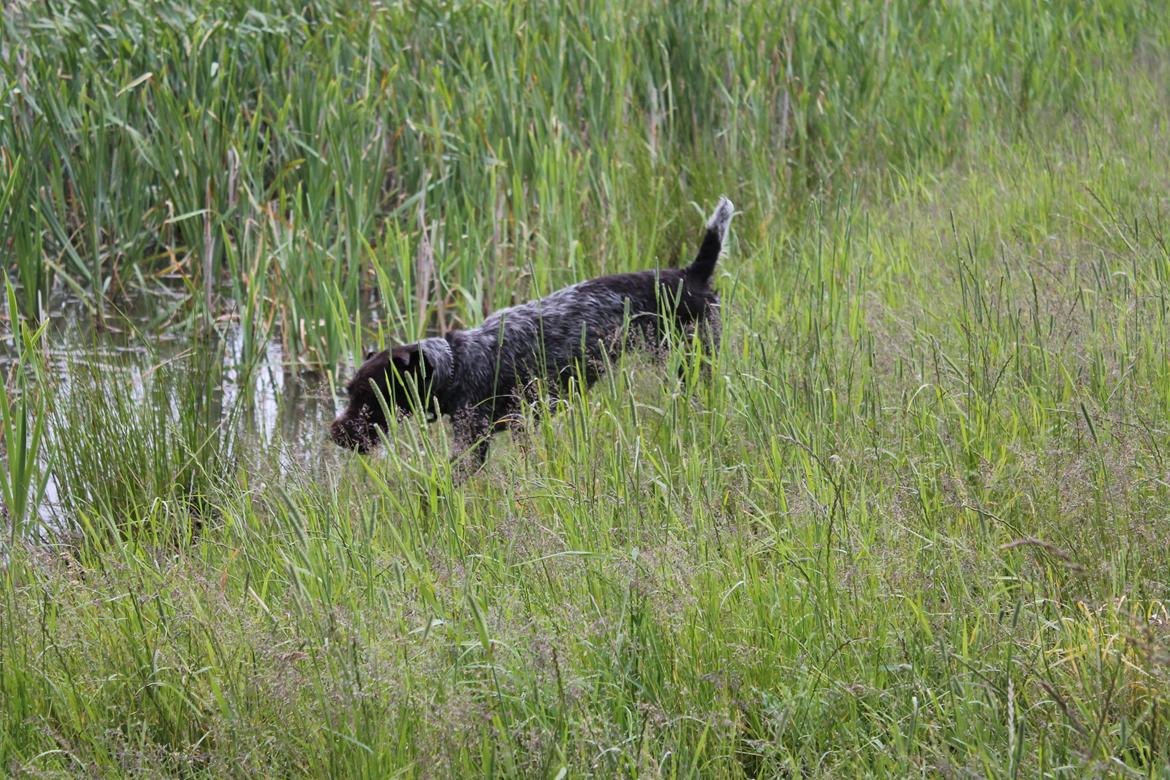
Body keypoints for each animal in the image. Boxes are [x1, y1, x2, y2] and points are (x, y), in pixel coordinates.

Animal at [329, 196, 730, 477]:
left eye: (369, 397)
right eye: (349, 392)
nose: (336, 434)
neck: (455, 364)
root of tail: (690, 274)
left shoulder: (473, 445)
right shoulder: (519, 428)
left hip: (693, 360)